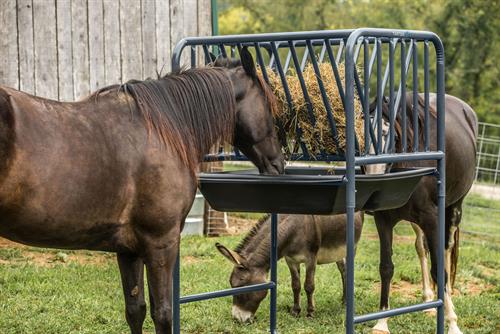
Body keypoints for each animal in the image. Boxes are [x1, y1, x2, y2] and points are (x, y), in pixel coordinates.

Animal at [0, 47, 284, 334]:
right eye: (270, 106)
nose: (279, 164)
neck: (162, 133)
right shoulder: (161, 243)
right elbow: (163, 313)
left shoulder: (129, 249)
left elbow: (135, 310)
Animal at [368, 93, 476, 334]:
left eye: (390, 138)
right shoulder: (383, 220)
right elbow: (386, 268)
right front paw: (382, 322)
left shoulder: (432, 219)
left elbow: (439, 270)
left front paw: (452, 323)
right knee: (421, 246)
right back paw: (428, 300)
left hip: (453, 209)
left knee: (445, 249)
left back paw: (447, 300)